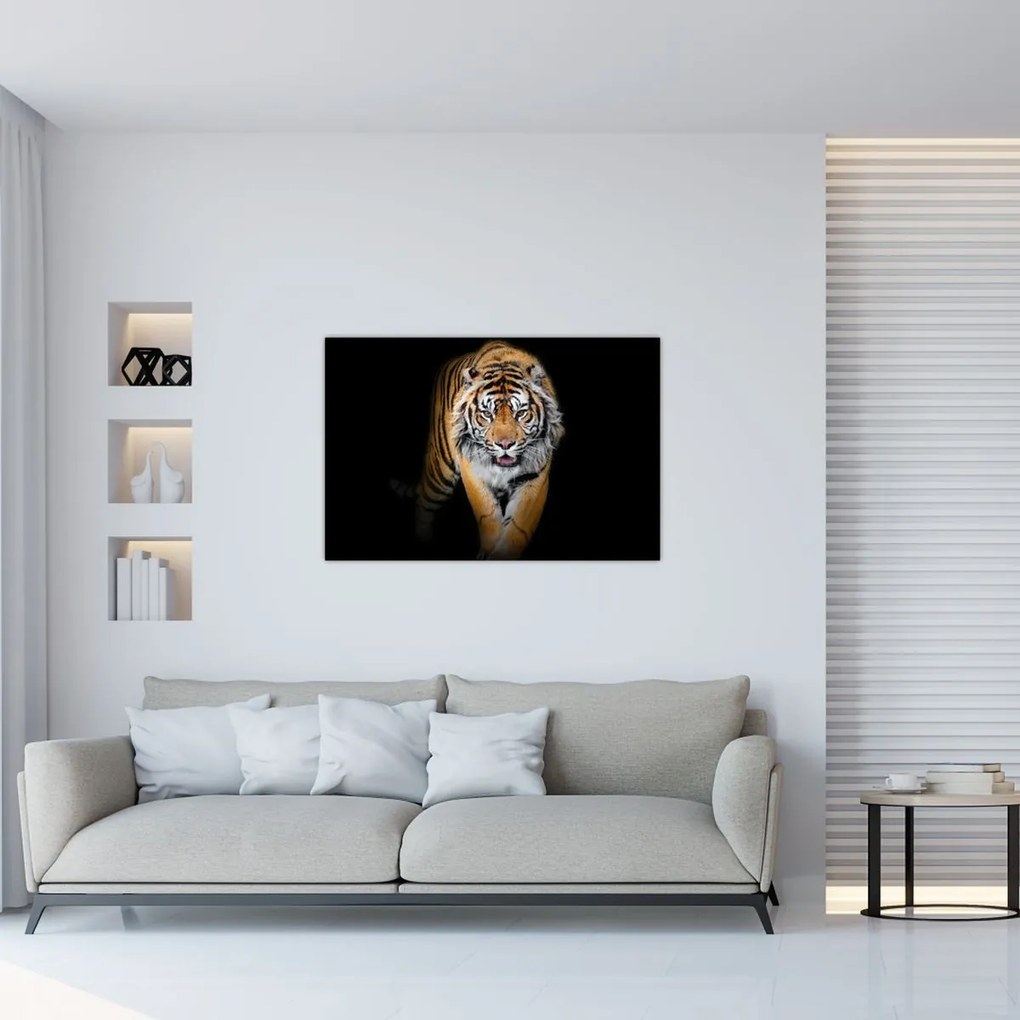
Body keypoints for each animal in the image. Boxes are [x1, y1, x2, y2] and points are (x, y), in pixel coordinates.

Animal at [410, 341, 565, 560]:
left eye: (521, 413)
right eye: (487, 414)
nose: (505, 445)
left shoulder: (535, 478)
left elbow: (519, 527)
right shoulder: (473, 471)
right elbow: (488, 515)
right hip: (441, 472)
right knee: (424, 500)